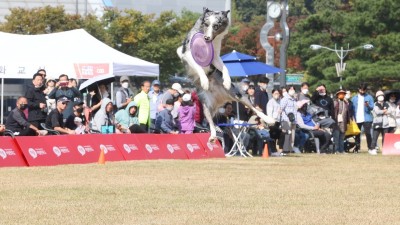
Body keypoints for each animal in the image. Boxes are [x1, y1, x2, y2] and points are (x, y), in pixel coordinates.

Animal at [177, 7, 276, 142]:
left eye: (216, 26)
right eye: (206, 24)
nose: (207, 38)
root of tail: (221, 98)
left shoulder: (215, 58)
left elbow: (224, 68)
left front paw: (227, 80)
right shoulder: (186, 54)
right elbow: (199, 67)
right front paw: (204, 81)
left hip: (238, 94)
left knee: (254, 108)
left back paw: (269, 119)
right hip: (205, 104)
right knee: (210, 121)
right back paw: (213, 136)